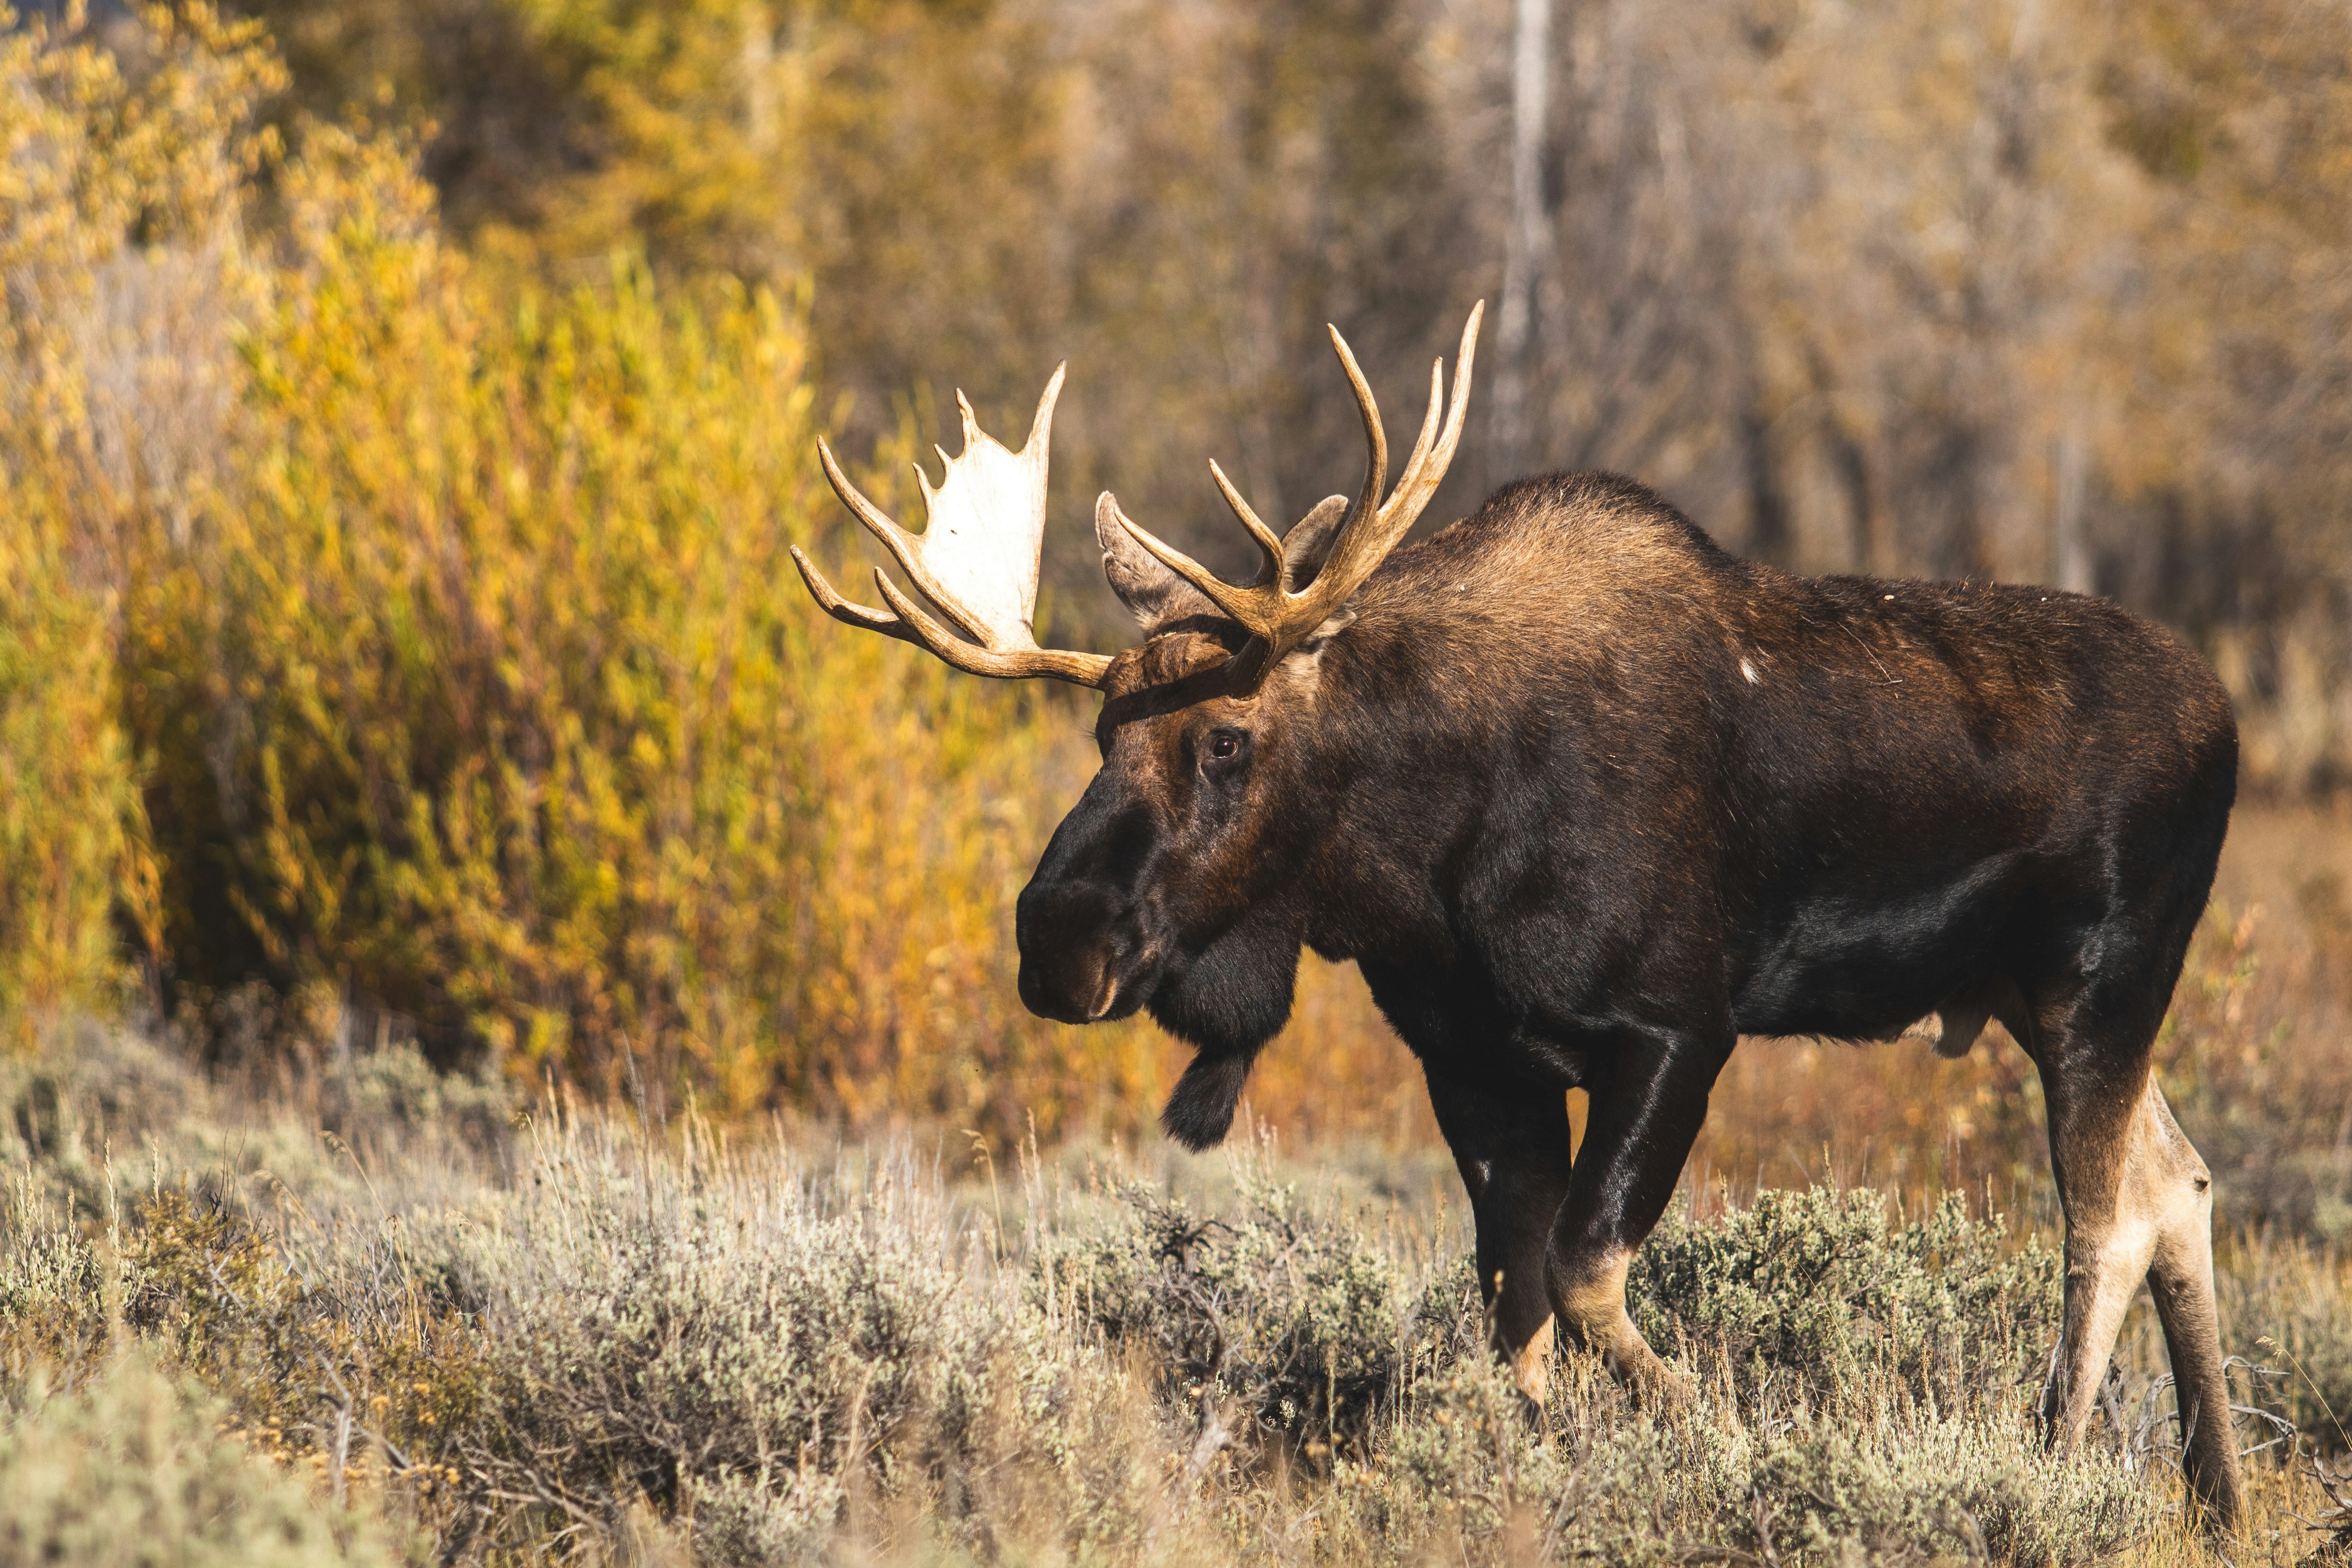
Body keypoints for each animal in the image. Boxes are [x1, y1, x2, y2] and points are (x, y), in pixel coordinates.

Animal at [791, 305, 2244, 1526]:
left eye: (1225, 739)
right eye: (1102, 732)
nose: (1057, 937)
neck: (1424, 864)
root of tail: (2226, 719)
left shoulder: (1676, 1028)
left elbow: (1588, 1270)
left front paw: (1721, 1443)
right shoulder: (1475, 1058)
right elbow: (1517, 1300)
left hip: (2100, 977)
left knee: (2104, 1215)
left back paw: (2054, 1465)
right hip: (2029, 994)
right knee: (2178, 1179)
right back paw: (2216, 1496)